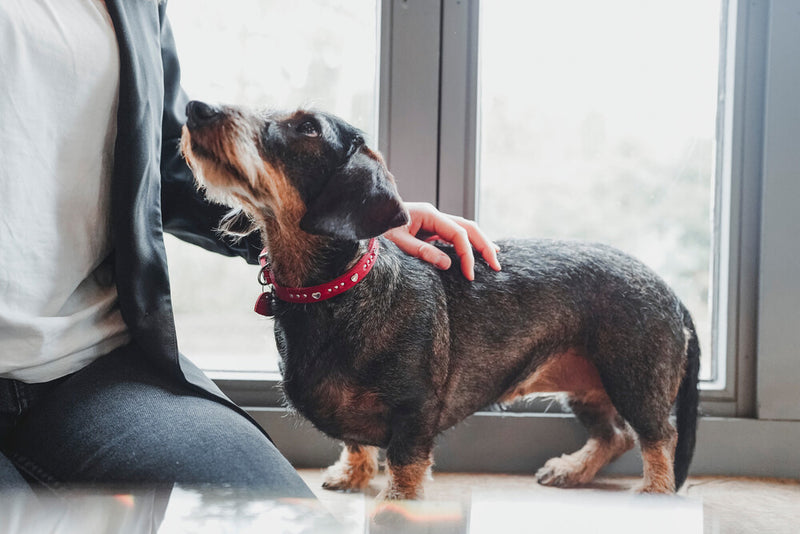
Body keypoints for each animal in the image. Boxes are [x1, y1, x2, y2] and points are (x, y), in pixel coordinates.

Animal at [181, 101, 700, 502]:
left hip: (633, 380)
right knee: (614, 436)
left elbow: (405, 468)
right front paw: (352, 474)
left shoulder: (414, 414)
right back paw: (572, 469)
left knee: (658, 439)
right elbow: (356, 443)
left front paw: (395, 503)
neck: (338, 291)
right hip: (589, 388)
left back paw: (653, 494)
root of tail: (672, 292)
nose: (194, 108)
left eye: (307, 127)